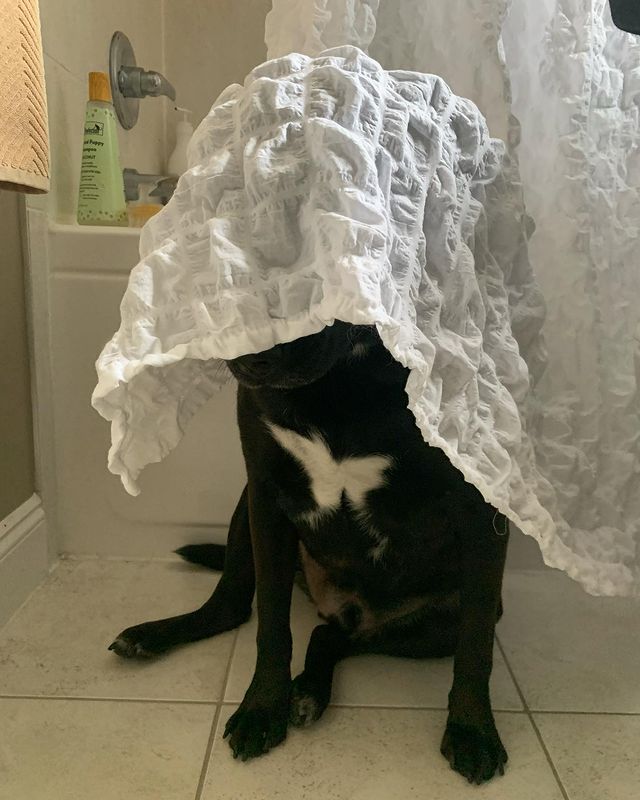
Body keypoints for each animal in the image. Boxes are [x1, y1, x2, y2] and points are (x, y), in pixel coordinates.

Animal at [109, 321, 509, 784]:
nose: (254, 354)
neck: (344, 377)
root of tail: (339, 605)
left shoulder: (482, 510)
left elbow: (476, 648)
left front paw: (472, 731)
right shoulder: (265, 493)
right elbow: (271, 625)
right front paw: (263, 707)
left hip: (441, 623)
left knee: (335, 636)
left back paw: (308, 692)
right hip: (245, 506)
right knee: (232, 609)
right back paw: (151, 637)